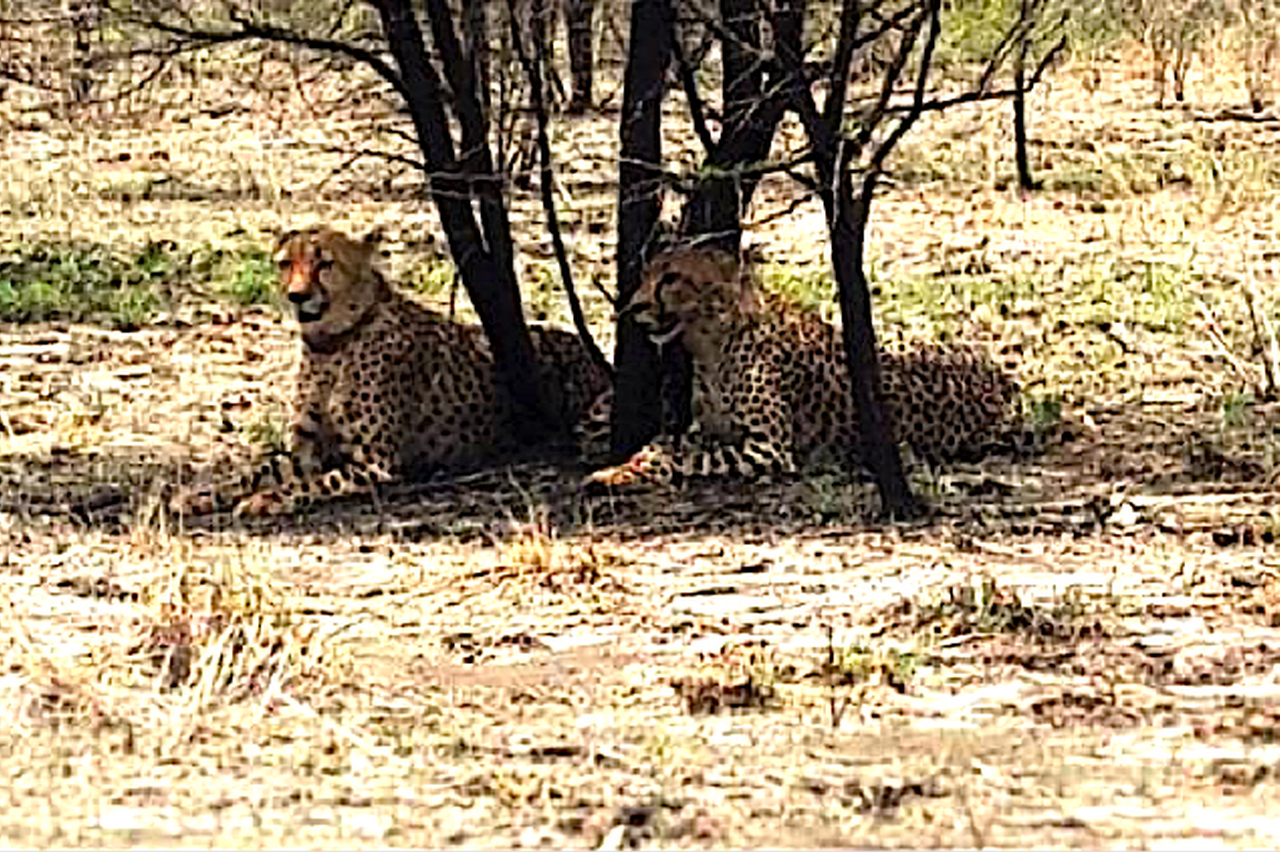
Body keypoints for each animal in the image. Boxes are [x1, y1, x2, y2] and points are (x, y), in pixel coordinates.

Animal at [175, 226, 610, 516]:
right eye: (286, 264)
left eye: (324, 263)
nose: (297, 296)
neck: (332, 345)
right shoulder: (308, 450)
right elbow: (255, 471)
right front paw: (200, 495)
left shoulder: (376, 464)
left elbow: (309, 484)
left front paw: (265, 499)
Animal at [586, 246, 1022, 488]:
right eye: (645, 275)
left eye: (672, 278)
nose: (634, 307)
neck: (712, 343)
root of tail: (1003, 374)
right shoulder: (705, 429)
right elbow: (668, 443)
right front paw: (624, 465)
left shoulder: (769, 449)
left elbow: (686, 457)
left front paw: (626, 473)